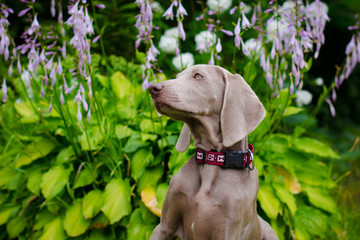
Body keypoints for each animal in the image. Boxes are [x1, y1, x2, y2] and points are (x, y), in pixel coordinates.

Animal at [148, 64, 278, 239]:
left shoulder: (227, 229)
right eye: (178, 76)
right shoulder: (163, 227)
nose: (152, 88)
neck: (213, 158)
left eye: (198, 76)